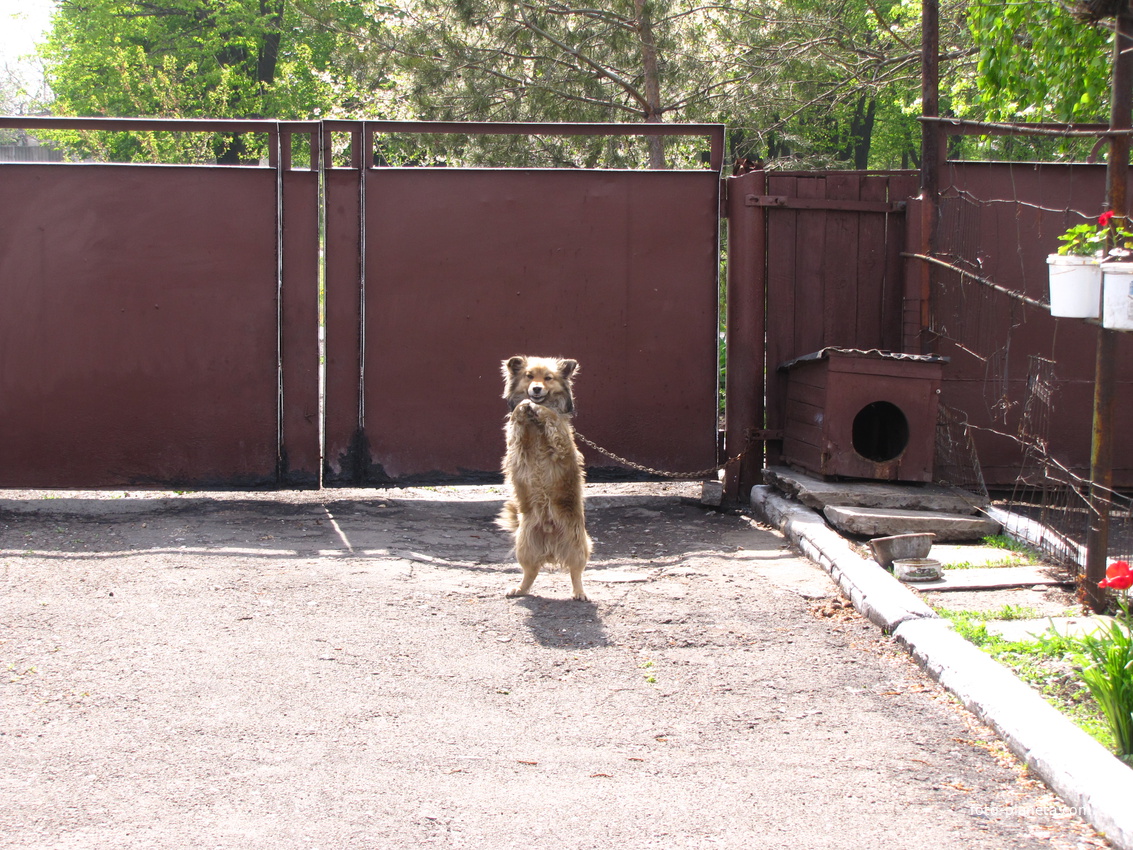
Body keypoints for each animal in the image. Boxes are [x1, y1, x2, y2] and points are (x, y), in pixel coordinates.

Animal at [498, 355, 593, 602]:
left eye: (548, 378)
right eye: (529, 376)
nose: (536, 389)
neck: (534, 422)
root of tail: (550, 544)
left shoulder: (561, 444)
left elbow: (550, 415)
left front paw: (539, 408)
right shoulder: (516, 443)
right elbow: (517, 416)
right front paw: (523, 407)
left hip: (578, 543)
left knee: (575, 571)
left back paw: (579, 592)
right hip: (524, 544)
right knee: (530, 572)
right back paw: (519, 589)